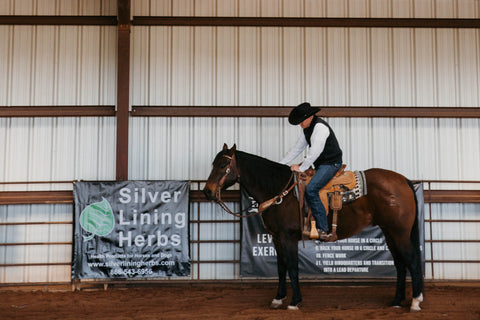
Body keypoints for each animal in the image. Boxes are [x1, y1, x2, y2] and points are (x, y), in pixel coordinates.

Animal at [202, 144, 424, 312]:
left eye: (224, 164)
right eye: (213, 163)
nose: (207, 192)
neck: (279, 191)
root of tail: (404, 181)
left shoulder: (288, 237)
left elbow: (292, 267)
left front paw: (294, 301)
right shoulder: (276, 238)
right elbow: (281, 267)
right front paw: (278, 298)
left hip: (400, 232)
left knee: (412, 261)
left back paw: (415, 301)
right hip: (389, 232)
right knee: (400, 264)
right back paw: (396, 301)